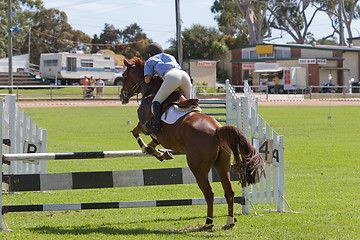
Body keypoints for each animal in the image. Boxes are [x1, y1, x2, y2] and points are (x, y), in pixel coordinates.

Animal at [119, 56, 262, 231]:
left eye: (124, 75)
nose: (122, 97)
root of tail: (217, 130)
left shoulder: (145, 125)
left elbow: (136, 133)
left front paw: (151, 150)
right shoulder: (158, 135)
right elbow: (153, 141)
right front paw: (160, 153)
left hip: (198, 168)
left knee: (209, 193)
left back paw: (208, 223)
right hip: (222, 166)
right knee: (229, 191)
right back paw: (229, 222)